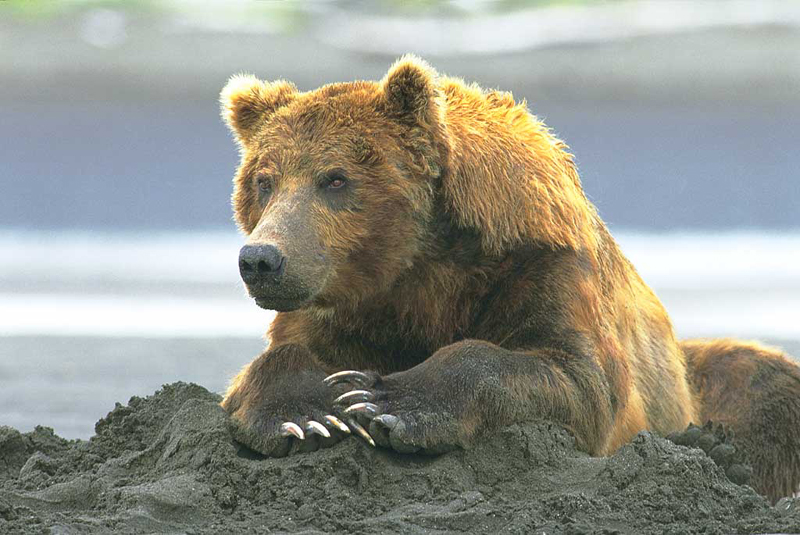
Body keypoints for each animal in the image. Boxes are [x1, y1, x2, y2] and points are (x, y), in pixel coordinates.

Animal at [218, 56, 800, 502]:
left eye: (335, 179)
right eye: (265, 180)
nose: (261, 259)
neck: (419, 272)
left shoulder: (541, 267)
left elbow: (577, 377)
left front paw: (387, 400)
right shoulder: (343, 307)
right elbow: (278, 361)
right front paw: (307, 415)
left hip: (703, 380)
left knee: (764, 384)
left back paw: (717, 450)